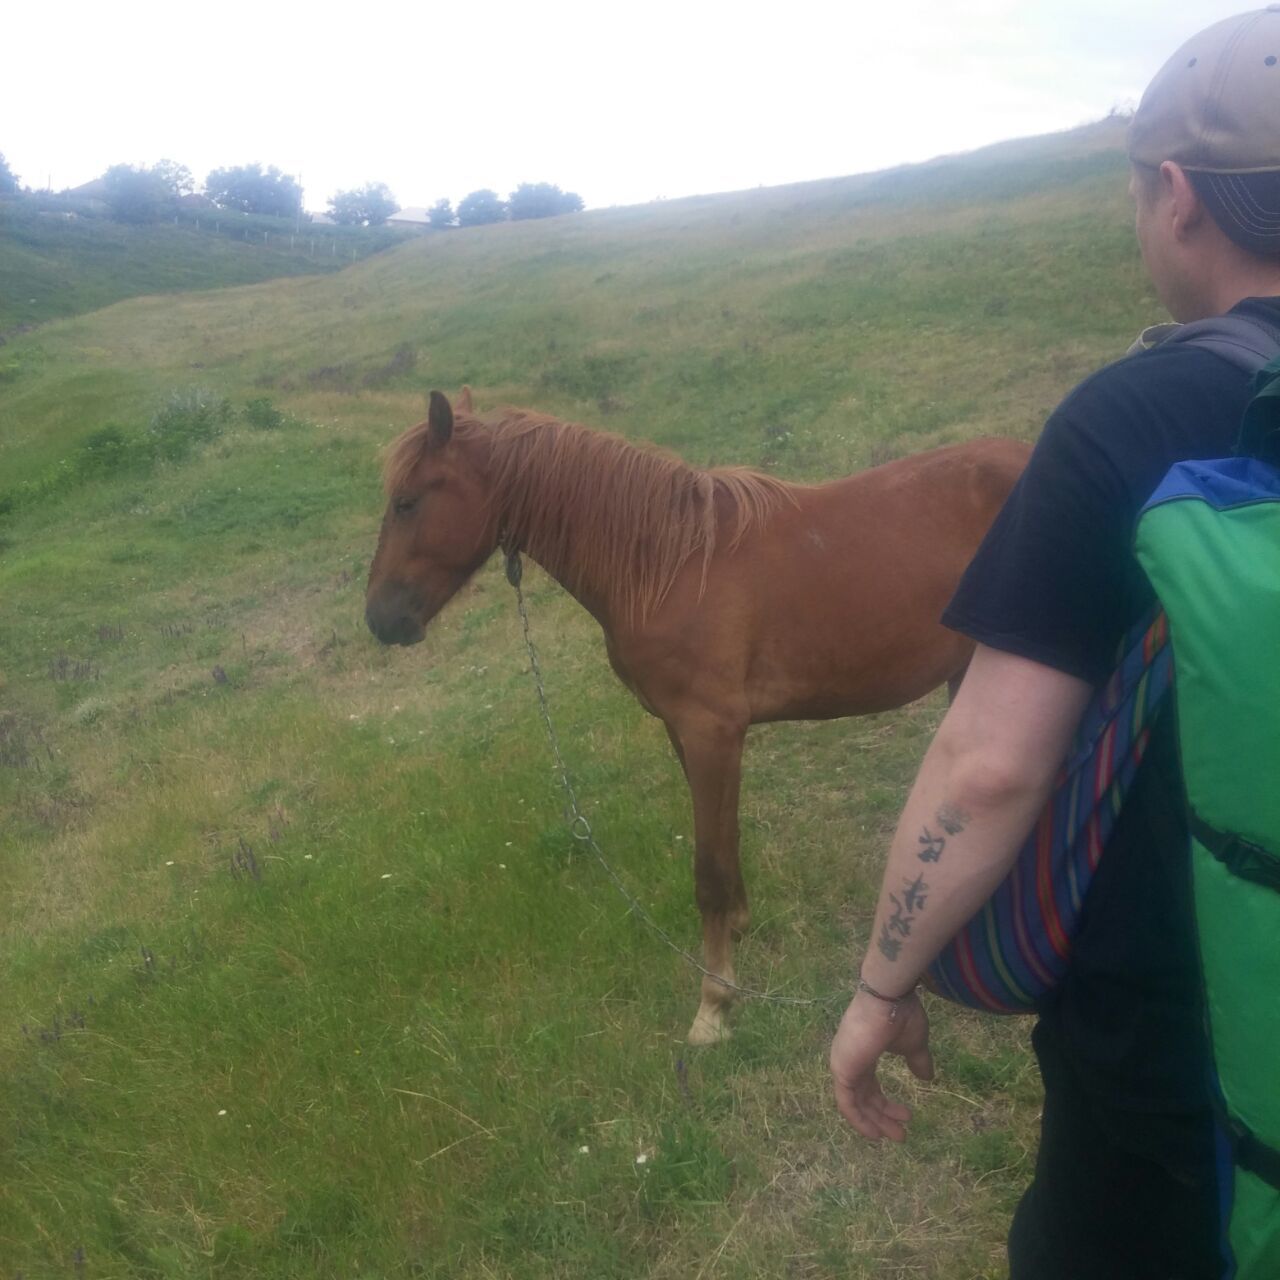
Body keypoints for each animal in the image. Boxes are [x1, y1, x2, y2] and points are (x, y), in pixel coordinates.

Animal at [363, 386, 1029, 1039]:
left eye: (406, 502)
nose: (380, 620)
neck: (671, 565)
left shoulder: (711, 732)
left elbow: (706, 870)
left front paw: (715, 1004)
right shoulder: (687, 734)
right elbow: (725, 846)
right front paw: (738, 930)